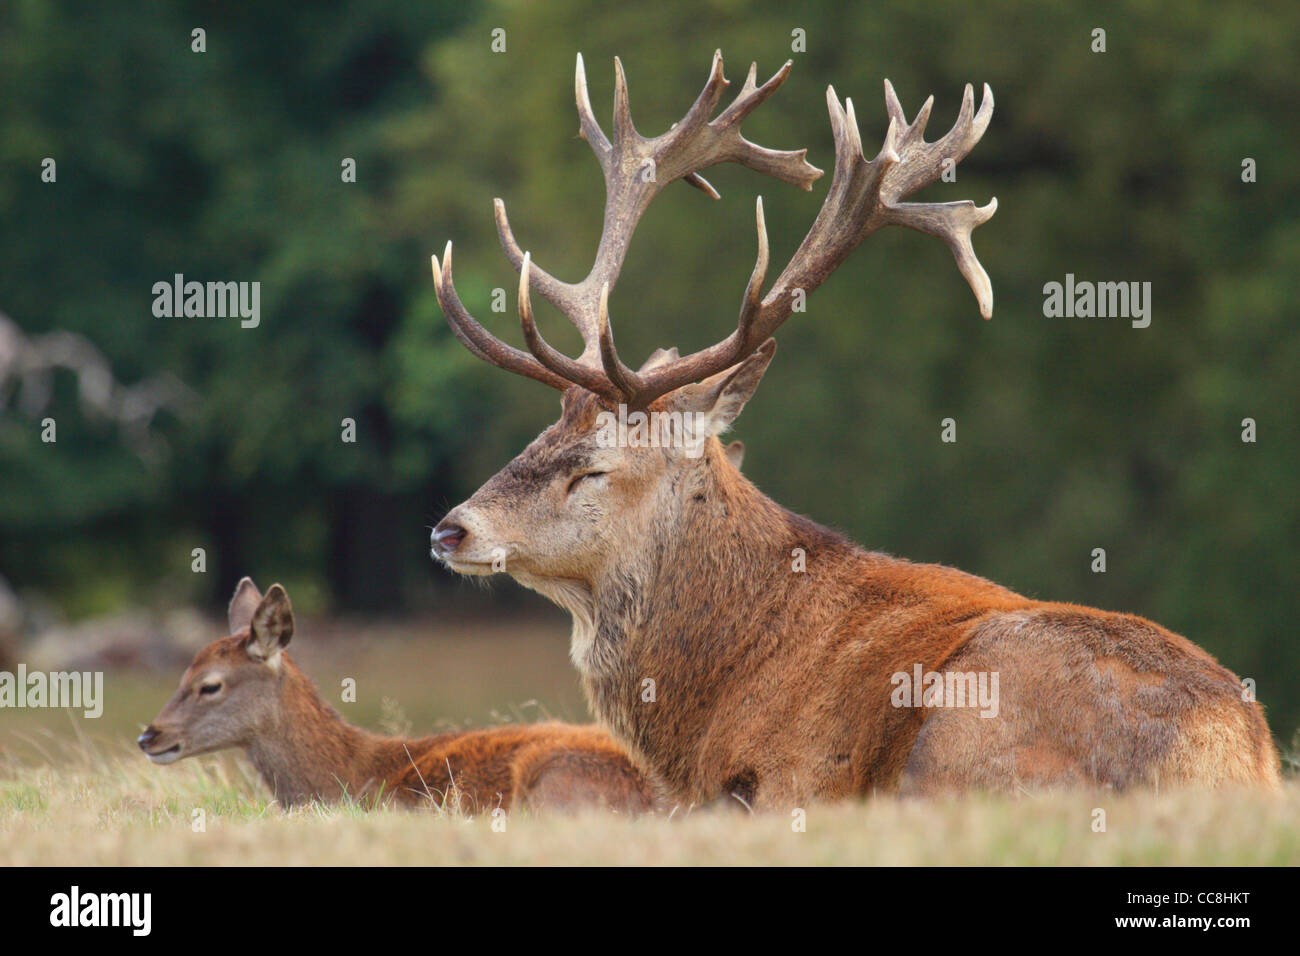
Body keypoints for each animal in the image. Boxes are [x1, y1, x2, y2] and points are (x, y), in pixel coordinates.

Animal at [426, 52, 1279, 806]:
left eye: (595, 466)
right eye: (537, 439)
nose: (449, 529)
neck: (709, 705)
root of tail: (1231, 749)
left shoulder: (788, 778)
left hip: (966, 730)